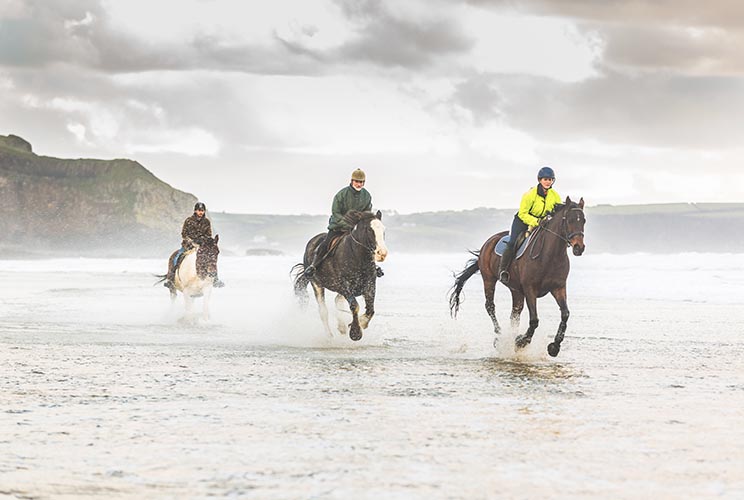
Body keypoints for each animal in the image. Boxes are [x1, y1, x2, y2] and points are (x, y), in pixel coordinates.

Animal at [292, 209, 390, 342]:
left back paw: (342, 327)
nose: (382, 254)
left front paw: (361, 323)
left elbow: (370, 309)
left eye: (383, 230)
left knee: (337, 300)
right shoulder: (345, 286)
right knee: (323, 311)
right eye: (369, 229)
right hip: (316, 283)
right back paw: (329, 336)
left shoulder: (370, 285)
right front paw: (355, 332)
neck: (358, 257)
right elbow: (355, 306)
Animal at [448, 197, 588, 358]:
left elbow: (565, 314)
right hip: (489, 279)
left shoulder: (558, 288)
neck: (550, 255)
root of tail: (488, 243)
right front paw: (521, 341)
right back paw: (500, 337)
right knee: (490, 306)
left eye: (583, 221)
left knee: (515, 313)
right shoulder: (530, 289)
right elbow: (534, 320)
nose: (579, 247)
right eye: (569, 220)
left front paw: (554, 346)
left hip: (516, 290)